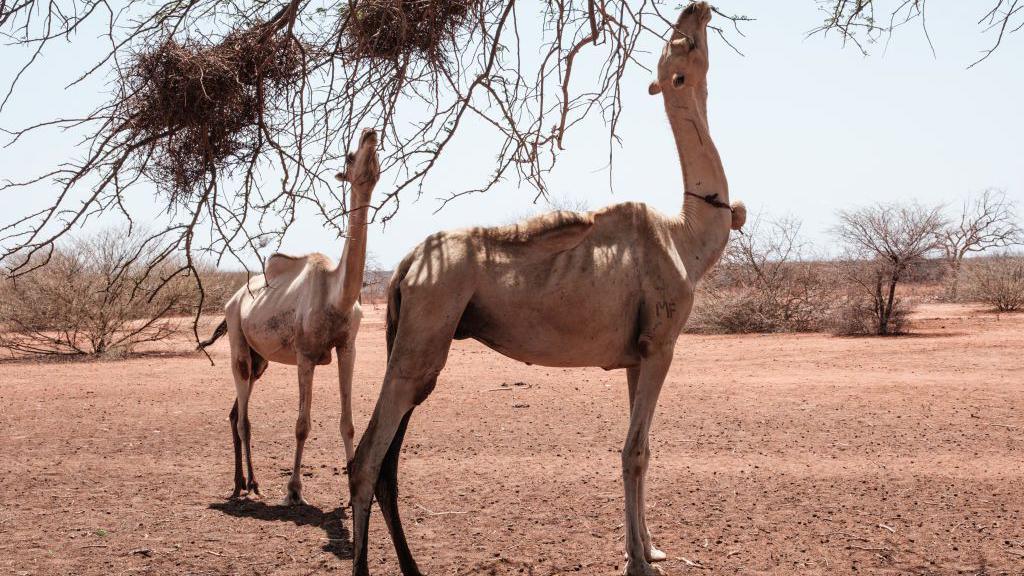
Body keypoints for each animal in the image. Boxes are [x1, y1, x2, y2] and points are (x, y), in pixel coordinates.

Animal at [198, 128, 380, 506]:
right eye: (350, 156)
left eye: (376, 153)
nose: (370, 132)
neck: (336, 295)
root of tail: (233, 299)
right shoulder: (305, 354)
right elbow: (302, 425)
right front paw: (294, 490)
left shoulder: (348, 347)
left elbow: (348, 422)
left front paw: (354, 489)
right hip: (238, 336)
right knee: (244, 417)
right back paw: (251, 486)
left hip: (261, 359)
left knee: (235, 412)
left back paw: (241, 482)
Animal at [345, 4, 744, 575]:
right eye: (682, 44)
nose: (697, 9)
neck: (687, 238)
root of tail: (404, 267)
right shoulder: (661, 344)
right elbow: (634, 451)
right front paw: (640, 563)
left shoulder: (636, 355)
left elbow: (643, 448)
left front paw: (647, 547)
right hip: (426, 328)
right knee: (366, 459)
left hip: (414, 334)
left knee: (386, 464)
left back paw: (412, 567)